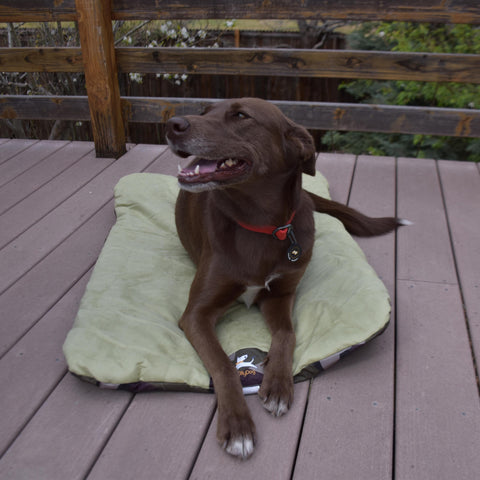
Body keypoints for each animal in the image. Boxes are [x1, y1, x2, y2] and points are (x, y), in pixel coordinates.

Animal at [166, 96, 404, 458]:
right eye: (205, 111)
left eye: (241, 115)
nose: (172, 124)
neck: (261, 226)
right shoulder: (196, 314)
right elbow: (222, 363)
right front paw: (237, 425)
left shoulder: (280, 296)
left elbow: (286, 334)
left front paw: (278, 385)